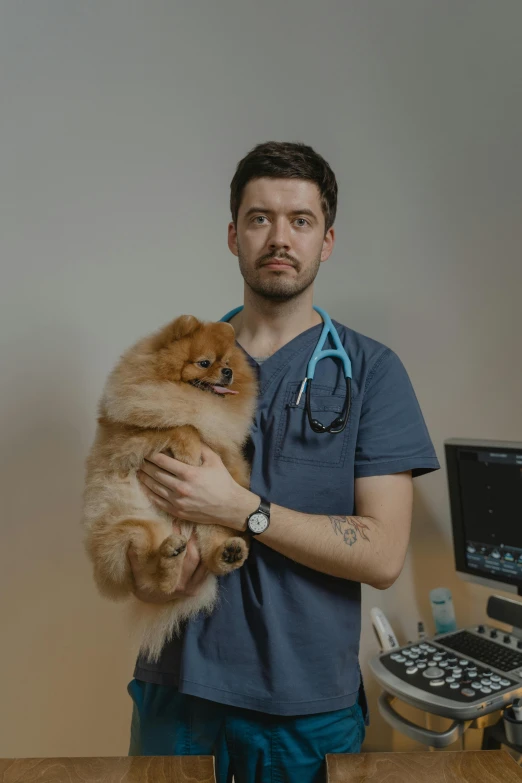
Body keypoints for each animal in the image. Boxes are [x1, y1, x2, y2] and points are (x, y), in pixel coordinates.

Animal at [80, 312, 256, 660]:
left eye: (228, 362)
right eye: (205, 363)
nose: (227, 372)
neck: (193, 400)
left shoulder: (224, 451)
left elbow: (218, 448)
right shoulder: (128, 439)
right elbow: (180, 426)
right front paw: (189, 450)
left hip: (209, 522)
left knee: (212, 554)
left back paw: (229, 553)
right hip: (134, 532)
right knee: (154, 580)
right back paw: (169, 560)